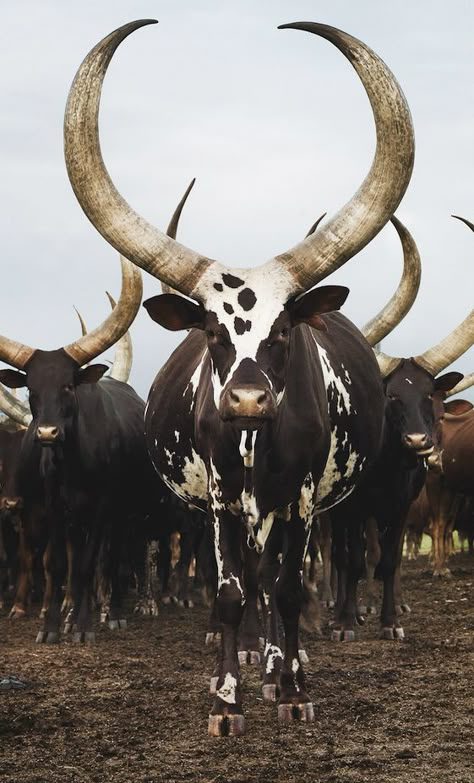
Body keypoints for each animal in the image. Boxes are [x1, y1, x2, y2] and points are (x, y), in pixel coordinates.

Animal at [64, 21, 414, 740]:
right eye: (212, 330)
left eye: (285, 330)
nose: (247, 399)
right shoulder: (223, 502)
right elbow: (230, 593)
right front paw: (226, 700)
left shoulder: (303, 501)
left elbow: (289, 588)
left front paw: (293, 689)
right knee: (250, 582)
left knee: (278, 582)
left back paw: (282, 662)